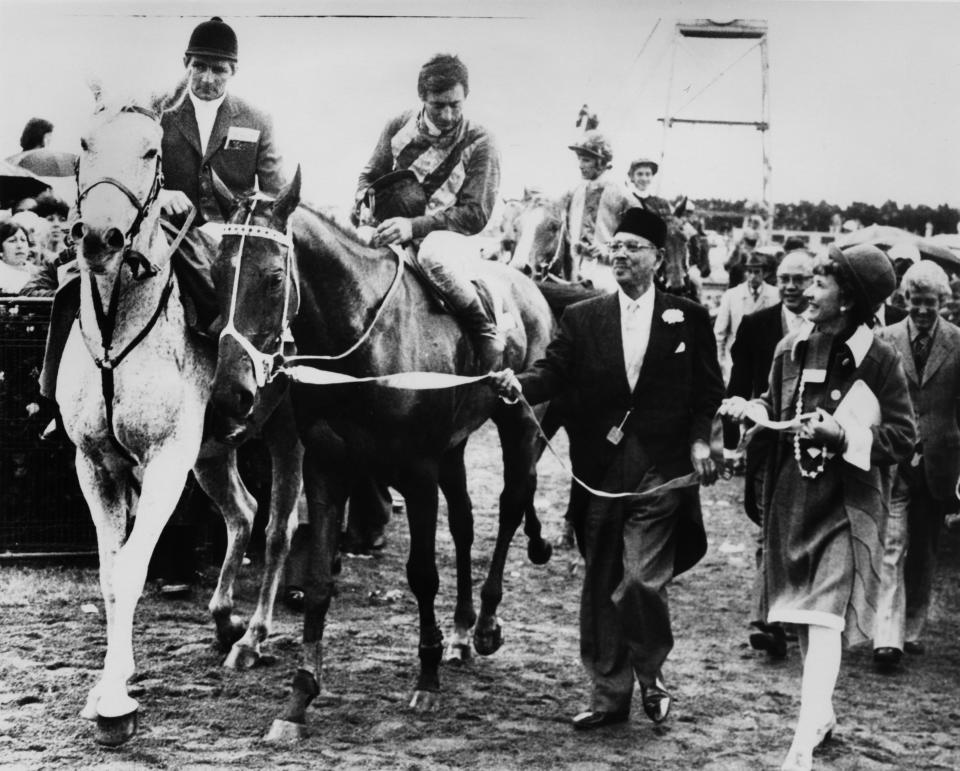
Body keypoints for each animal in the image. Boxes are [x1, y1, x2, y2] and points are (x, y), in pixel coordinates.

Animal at [58, 98, 302, 748]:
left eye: (151, 151)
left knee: (278, 528)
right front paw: (109, 682)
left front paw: (116, 703)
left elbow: (133, 568)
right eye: (83, 143)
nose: (101, 237)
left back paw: (254, 635)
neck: (116, 331)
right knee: (242, 511)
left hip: (286, 438)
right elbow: (110, 572)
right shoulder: (94, 466)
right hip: (213, 454)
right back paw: (225, 620)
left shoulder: (166, 461)